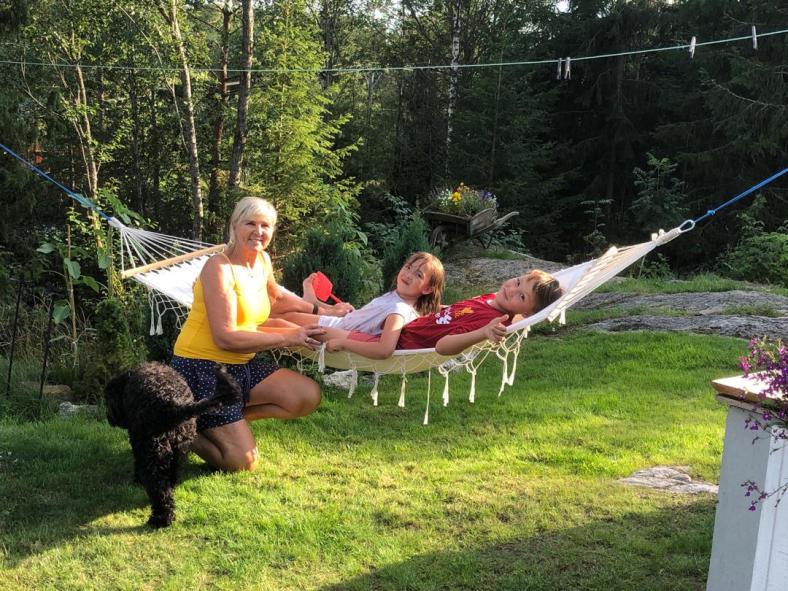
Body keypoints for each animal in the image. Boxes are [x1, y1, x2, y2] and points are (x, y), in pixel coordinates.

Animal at [105, 361, 241, 528]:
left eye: (108, 400)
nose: (109, 417)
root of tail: (172, 405)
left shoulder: (138, 442)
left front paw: (136, 480)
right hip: (179, 448)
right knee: (172, 476)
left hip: (153, 451)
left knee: (159, 489)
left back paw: (160, 519)